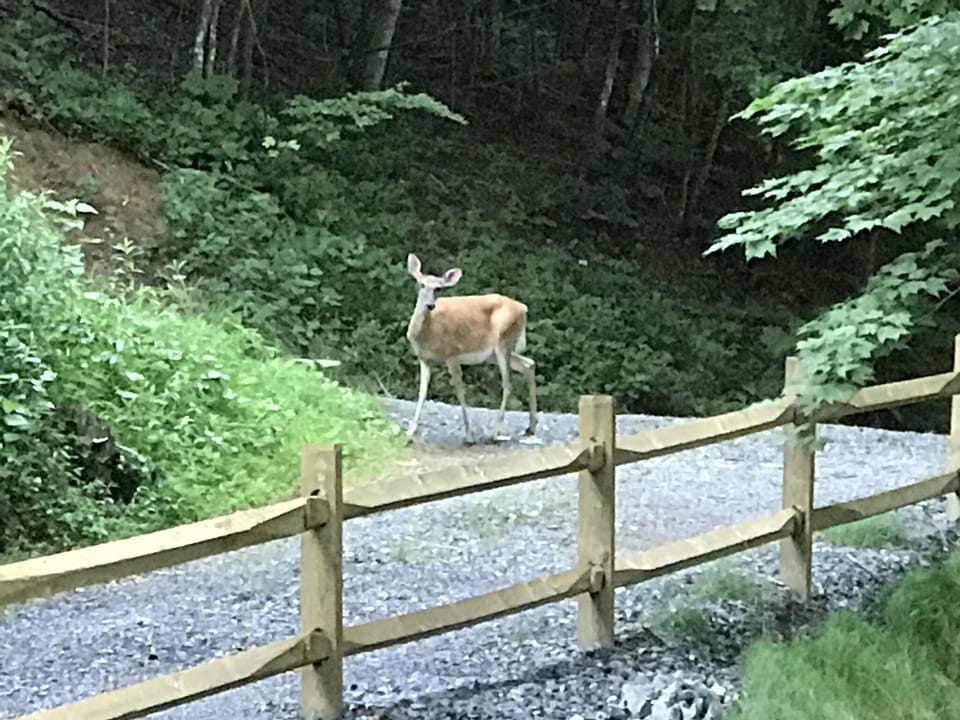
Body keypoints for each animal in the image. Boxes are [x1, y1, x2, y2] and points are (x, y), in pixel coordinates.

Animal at [404, 253, 539, 445]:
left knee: (508, 384)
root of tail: (524, 308)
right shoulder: (424, 359)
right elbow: (422, 392)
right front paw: (410, 432)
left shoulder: (452, 353)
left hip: (503, 340)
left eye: (439, 289)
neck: (428, 334)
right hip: (495, 352)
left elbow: (460, 391)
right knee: (529, 363)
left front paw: (469, 436)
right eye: (422, 284)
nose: (430, 305)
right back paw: (530, 428)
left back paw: (494, 433)